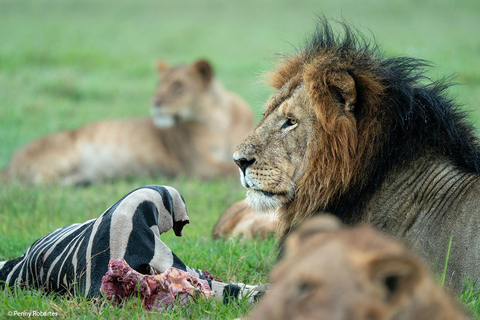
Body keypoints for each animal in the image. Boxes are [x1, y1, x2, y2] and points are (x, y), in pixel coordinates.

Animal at [4, 59, 255, 185]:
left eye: (178, 85)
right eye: (159, 85)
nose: (155, 102)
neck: (218, 118)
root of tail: (9, 163)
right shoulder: (198, 165)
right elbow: (229, 171)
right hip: (64, 151)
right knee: (39, 180)